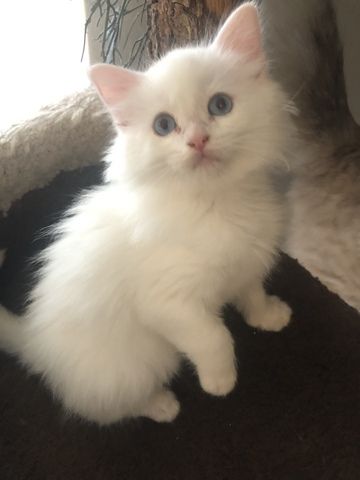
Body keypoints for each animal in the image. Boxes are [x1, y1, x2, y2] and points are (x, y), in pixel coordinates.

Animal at [0, 3, 292, 424]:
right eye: (164, 126)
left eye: (220, 105)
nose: (198, 140)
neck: (215, 203)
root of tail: (38, 343)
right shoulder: (168, 304)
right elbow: (214, 336)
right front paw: (220, 382)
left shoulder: (250, 260)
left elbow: (252, 291)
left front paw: (267, 316)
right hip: (138, 362)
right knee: (108, 405)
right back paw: (161, 404)